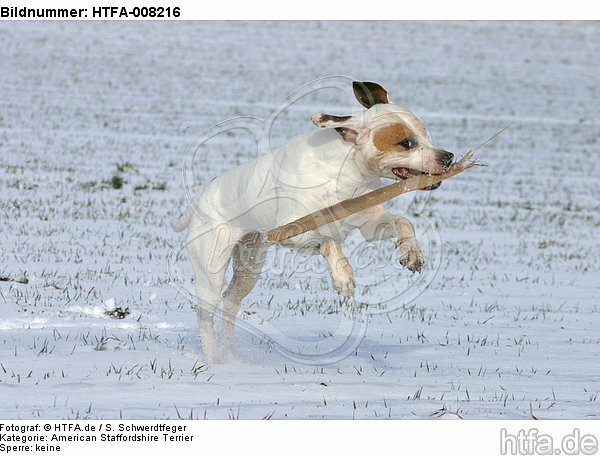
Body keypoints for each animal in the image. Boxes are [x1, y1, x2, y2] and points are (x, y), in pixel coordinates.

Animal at [176, 80, 452, 362]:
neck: (346, 174)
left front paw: (412, 253)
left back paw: (231, 353)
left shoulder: (369, 223)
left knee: (232, 299)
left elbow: (404, 223)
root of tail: (201, 197)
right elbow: (329, 241)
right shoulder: (293, 233)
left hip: (249, 265)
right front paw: (343, 276)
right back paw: (214, 360)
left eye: (425, 134)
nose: (448, 157)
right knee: (206, 314)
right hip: (211, 271)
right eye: (406, 143)